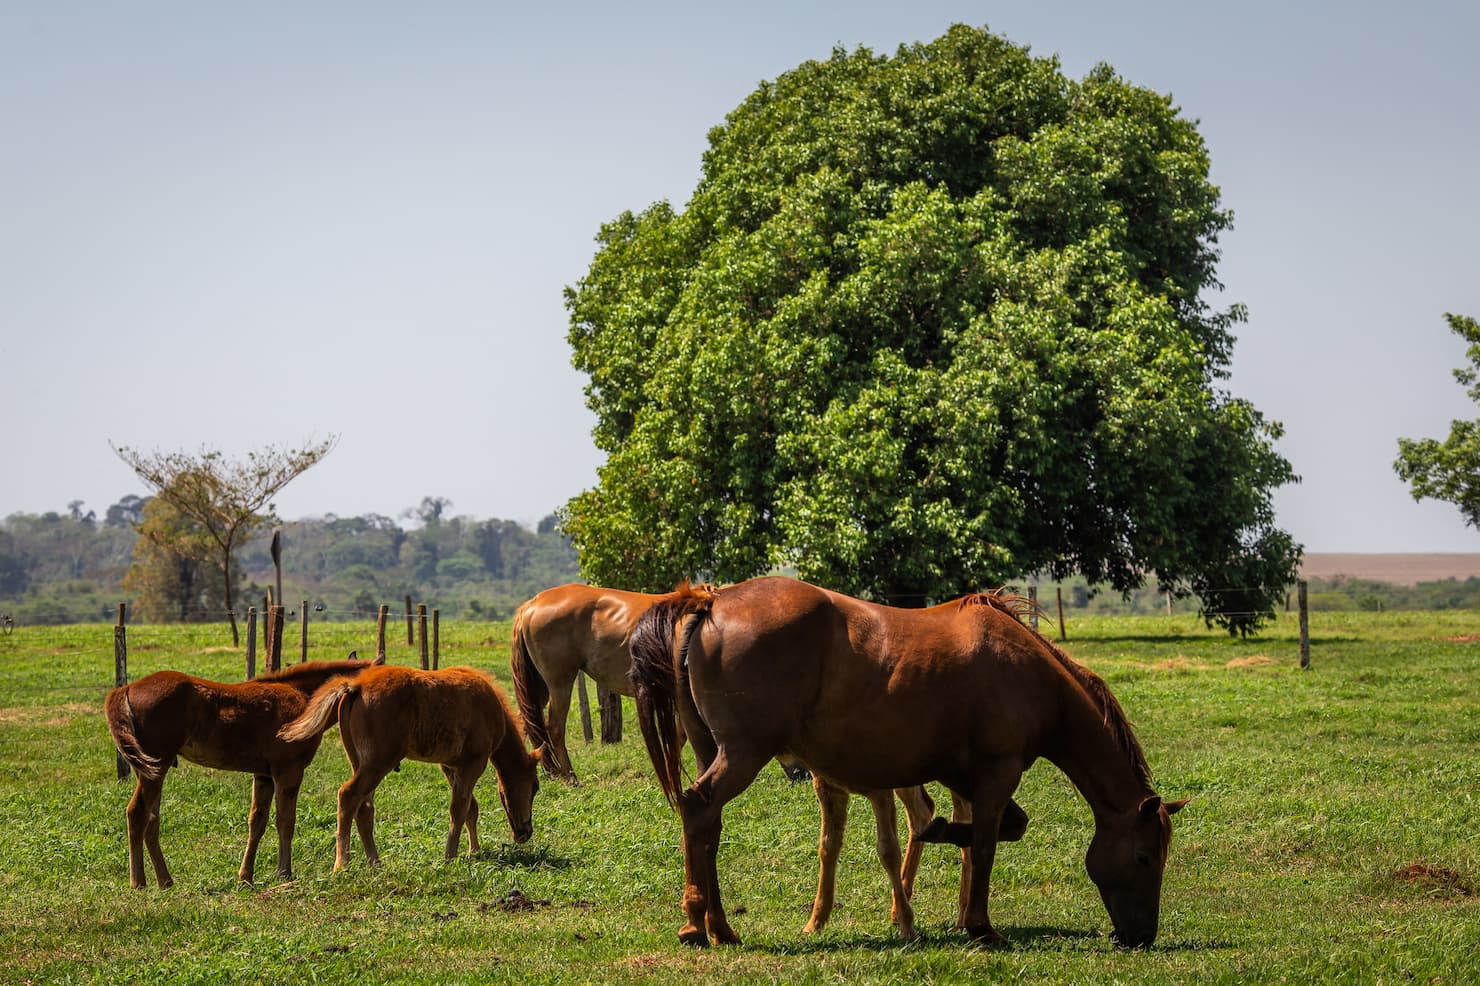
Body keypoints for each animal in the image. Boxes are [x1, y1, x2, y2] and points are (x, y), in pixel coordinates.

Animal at [103, 657, 375, 888]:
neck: (302, 697)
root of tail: (125, 689)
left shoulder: (264, 776)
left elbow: (257, 822)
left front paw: (245, 877)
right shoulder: (289, 771)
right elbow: (286, 822)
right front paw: (285, 874)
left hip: (151, 770)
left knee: (151, 820)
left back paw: (166, 881)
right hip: (156, 769)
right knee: (137, 813)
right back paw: (138, 882)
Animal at [276, 660, 538, 870]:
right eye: (535, 787)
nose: (525, 833)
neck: (491, 707)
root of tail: (355, 686)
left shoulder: (450, 765)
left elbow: (470, 808)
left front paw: (474, 851)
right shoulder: (475, 761)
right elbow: (459, 808)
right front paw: (451, 856)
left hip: (358, 760)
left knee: (364, 807)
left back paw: (375, 862)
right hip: (379, 761)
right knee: (348, 795)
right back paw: (342, 864)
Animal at [630, 577, 1184, 947]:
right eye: (1144, 858)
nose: (1141, 937)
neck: (1028, 672)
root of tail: (711, 601)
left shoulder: (965, 777)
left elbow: (991, 832)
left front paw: (941, 861)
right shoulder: (997, 773)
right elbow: (987, 844)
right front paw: (980, 927)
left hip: (715, 751)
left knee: (705, 825)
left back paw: (715, 925)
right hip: (743, 755)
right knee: (699, 808)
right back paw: (701, 924)